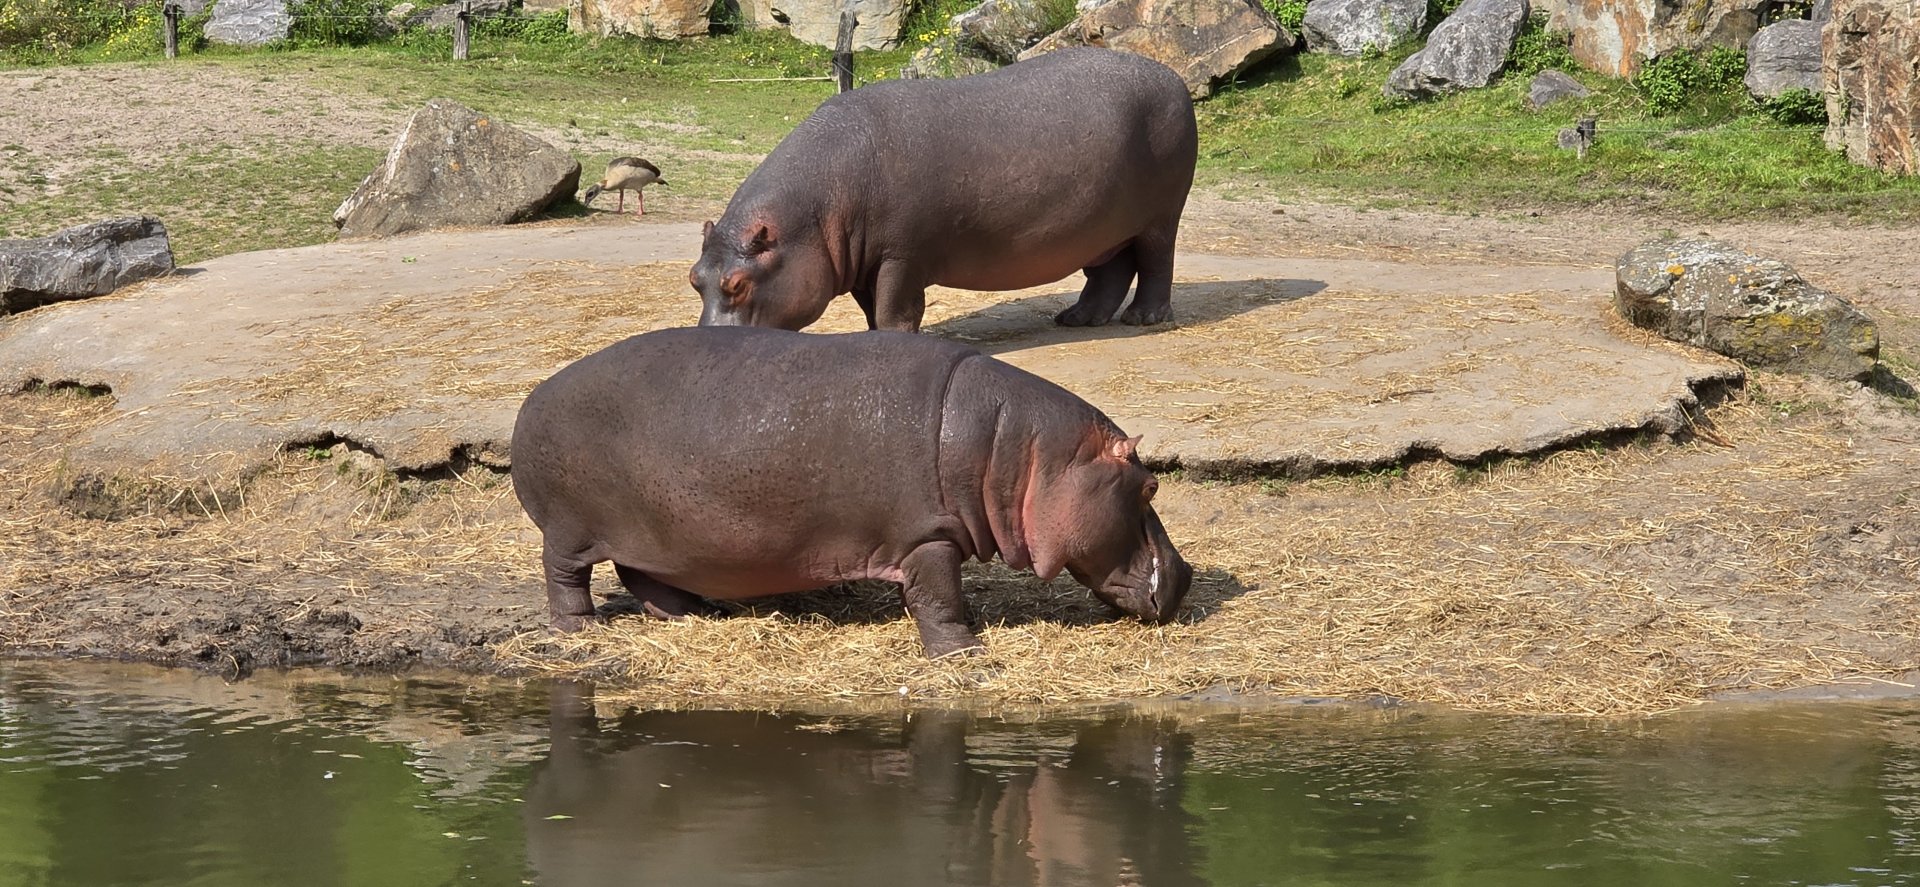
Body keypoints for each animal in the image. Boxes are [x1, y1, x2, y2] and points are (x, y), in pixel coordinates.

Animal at [510, 326, 1192, 657]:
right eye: (1151, 485)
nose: (1185, 575)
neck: (1024, 451)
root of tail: (533, 397)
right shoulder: (926, 535)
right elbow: (938, 598)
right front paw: (965, 652)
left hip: (654, 534)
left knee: (642, 575)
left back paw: (691, 614)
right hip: (568, 530)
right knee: (564, 574)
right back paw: (579, 630)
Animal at [689, 47, 1198, 333]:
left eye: (737, 284)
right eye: (695, 279)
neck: (819, 211)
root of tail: (1173, 76)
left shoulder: (901, 255)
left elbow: (895, 308)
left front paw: (894, 339)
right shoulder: (863, 261)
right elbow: (871, 309)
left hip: (1160, 217)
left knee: (1156, 263)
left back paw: (1144, 319)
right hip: (1104, 228)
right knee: (1111, 271)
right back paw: (1078, 319)